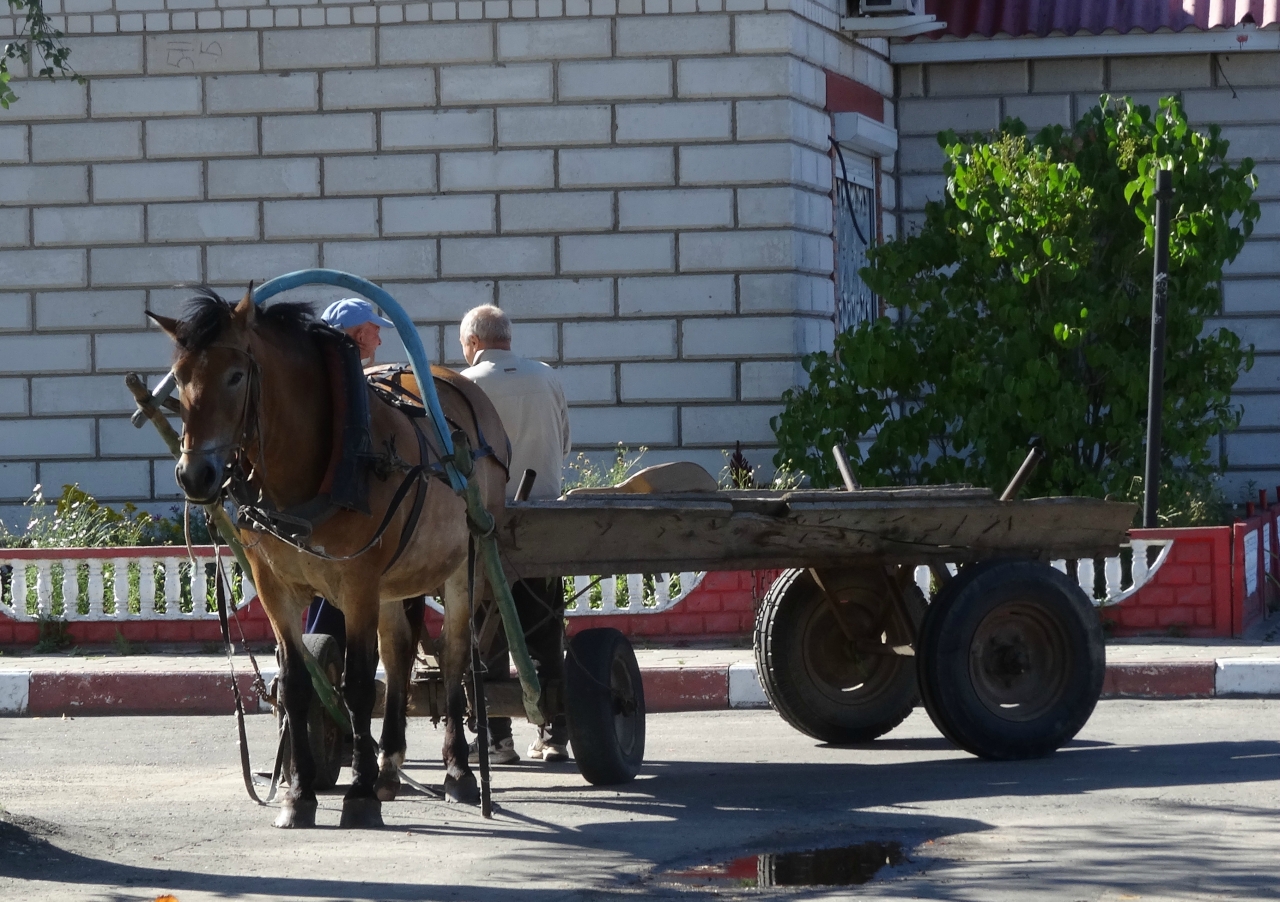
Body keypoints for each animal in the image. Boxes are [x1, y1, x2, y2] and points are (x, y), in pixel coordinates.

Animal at [149, 287, 509, 829]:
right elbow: (297, 684)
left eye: (235, 375)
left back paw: (458, 772)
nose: (195, 475)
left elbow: (359, 684)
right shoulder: (276, 587)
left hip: (463, 566)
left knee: (452, 655)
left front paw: (357, 794)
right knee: (399, 652)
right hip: (392, 582)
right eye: (180, 376)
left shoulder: (357, 584)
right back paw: (389, 768)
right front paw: (299, 794)